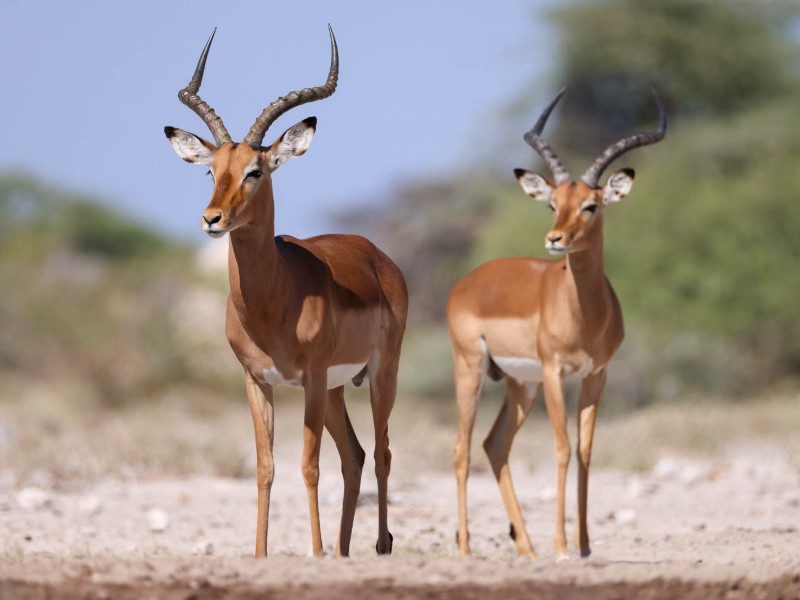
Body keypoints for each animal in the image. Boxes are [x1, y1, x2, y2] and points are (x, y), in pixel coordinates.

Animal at [163, 26, 408, 558]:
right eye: (210, 169)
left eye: (256, 170)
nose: (212, 219)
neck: (274, 305)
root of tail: (377, 255)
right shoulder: (257, 382)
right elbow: (265, 468)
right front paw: (262, 552)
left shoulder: (310, 379)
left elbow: (309, 467)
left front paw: (312, 551)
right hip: (337, 389)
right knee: (356, 455)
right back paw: (341, 550)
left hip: (379, 375)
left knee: (381, 452)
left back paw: (380, 544)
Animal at [448, 89, 666, 560]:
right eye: (553, 204)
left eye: (590, 205)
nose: (554, 239)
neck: (584, 315)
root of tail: (469, 280)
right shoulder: (554, 373)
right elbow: (563, 449)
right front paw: (563, 547)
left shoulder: (595, 375)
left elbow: (585, 451)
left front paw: (583, 546)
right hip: (472, 370)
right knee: (461, 449)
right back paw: (468, 550)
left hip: (519, 385)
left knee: (495, 445)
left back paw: (527, 549)